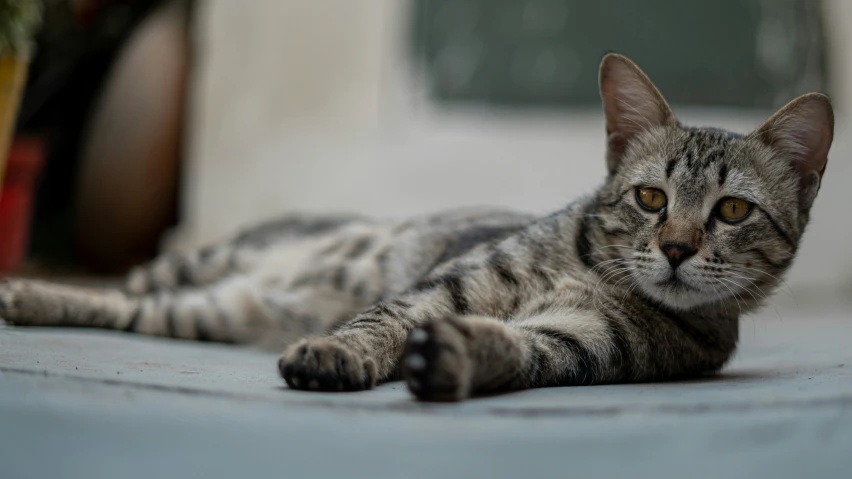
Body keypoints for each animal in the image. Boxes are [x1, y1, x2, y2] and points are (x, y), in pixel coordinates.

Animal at [0, 55, 836, 402]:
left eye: (732, 210)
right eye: (651, 198)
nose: (675, 248)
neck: (593, 271)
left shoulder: (584, 343)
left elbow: (519, 351)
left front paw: (460, 358)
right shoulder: (450, 284)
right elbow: (381, 320)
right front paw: (339, 353)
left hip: (200, 310)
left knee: (123, 307)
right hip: (199, 264)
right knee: (116, 284)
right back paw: (23, 291)